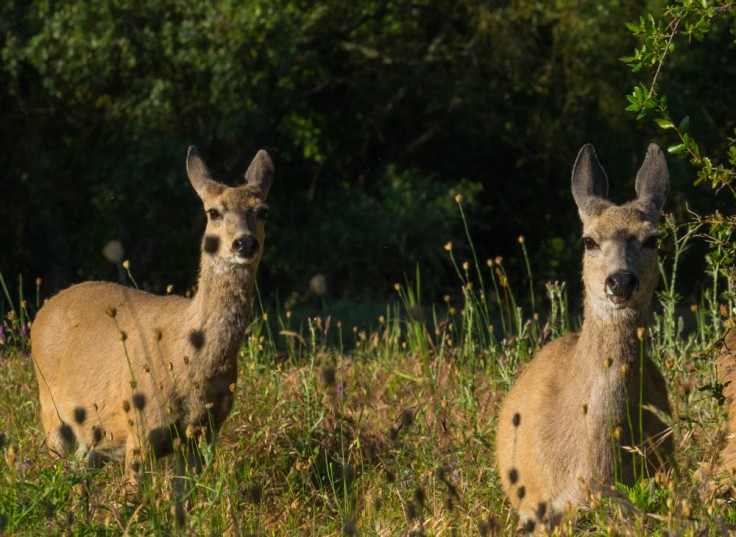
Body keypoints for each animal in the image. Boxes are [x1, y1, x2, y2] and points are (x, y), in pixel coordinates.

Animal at [30, 146, 273, 503]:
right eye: (213, 212)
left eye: (263, 211)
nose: (244, 243)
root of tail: (44, 308)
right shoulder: (140, 427)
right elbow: (132, 499)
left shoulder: (201, 436)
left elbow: (183, 502)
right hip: (51, 412)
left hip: (91, 437)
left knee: (78, 478)